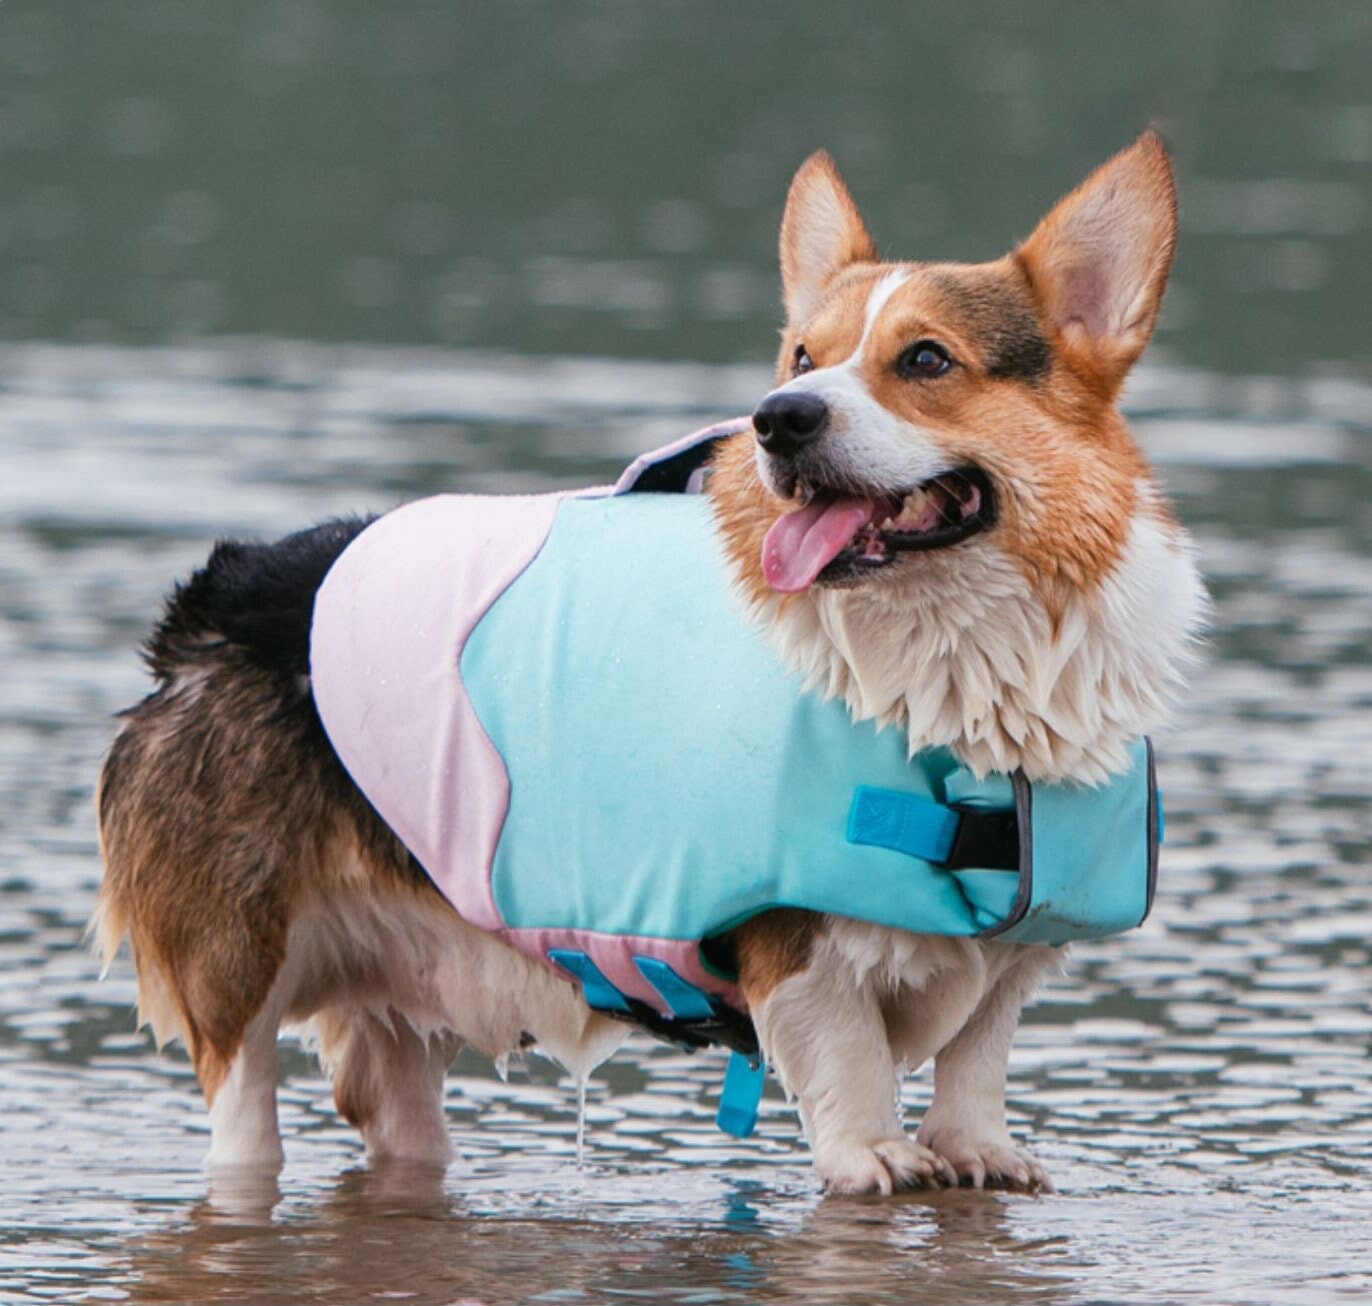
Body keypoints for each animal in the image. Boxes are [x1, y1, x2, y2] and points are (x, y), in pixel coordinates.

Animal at [93, 132, 1201, 1196]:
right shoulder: (795, 943)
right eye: (802, 355)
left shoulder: (1015, 957)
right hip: (235, 971)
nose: (778, 416)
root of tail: (219, 595)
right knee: (245, 1121)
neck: (956, 658)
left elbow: (978, 1054)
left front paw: (977, 1148)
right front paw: (874, 1155)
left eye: (926, 359)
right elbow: (847, 1053)